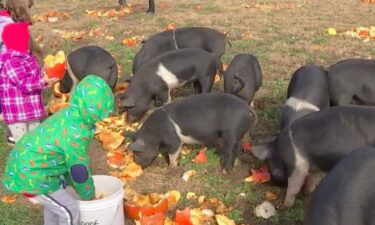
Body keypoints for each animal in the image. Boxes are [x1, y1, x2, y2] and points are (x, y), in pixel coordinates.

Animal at [126, 92, 258, 173]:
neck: (154, 134)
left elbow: (173, 153)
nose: (137, 163)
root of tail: (247, 109)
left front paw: (171, 168)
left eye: (137, 152)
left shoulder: (173, 140)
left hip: (231, 132)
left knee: (230, 151)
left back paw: (224, 172)